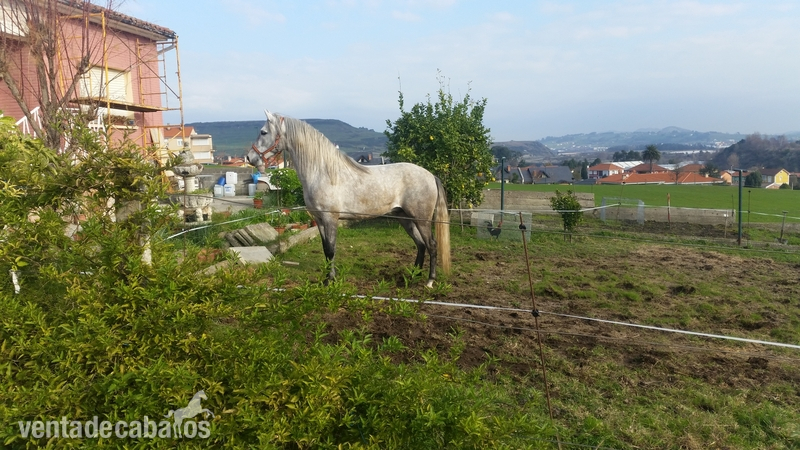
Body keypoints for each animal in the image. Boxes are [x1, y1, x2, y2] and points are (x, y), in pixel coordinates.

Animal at [248, 110, 450, 287]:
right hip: (404, 217)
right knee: (420, 244)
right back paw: (412, 276)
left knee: (431, 245)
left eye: (263, 132)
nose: (250, 158)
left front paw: (330, 281)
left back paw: (429, 281)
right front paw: (326, 279)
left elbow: (331, 249)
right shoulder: (319, 220)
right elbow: (326, 250)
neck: (323, 172)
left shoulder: (330, 219)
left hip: (421, 219)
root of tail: (430, 175)